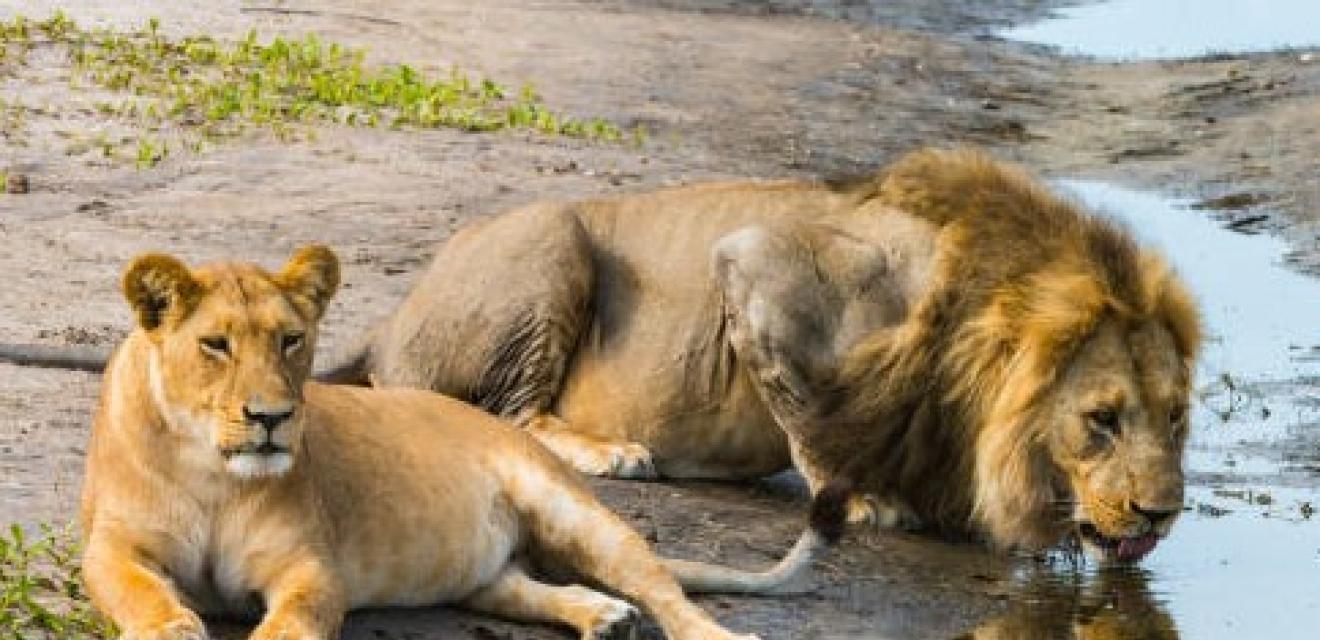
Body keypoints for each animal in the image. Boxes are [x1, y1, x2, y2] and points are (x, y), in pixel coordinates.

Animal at [78, 246, 836, 640]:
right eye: (215, 344)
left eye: (290, 341)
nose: (271, 417)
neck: (212, 470)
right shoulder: (114, 546)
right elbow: (141, 596)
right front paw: (172, 626)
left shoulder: (312, 567)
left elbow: (290, 625)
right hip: (485, 568)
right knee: (523, 586)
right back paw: (602, 615)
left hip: (572, 509)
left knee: (665, 590)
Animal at [317, 148, 1202, 561]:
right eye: (1101, 419)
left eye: (1175, 417)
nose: (1163, 513)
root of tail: (393, 317)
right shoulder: (756, 264)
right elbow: (813, 418)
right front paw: (867, 497)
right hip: (551, 236)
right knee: (512, 411)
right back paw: (611, 452)